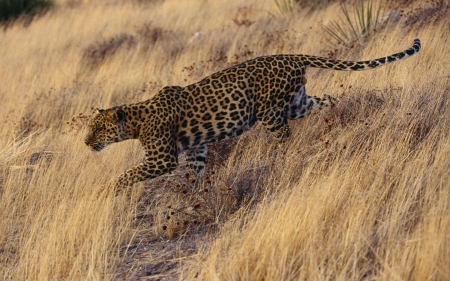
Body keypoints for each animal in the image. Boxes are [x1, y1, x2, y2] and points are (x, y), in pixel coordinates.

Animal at [85, 37, 422, 192]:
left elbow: (129, 174)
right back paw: (341, 120)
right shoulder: (196, 148)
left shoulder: (161, 159)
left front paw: (109, 191)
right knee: (328, 99)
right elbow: (195, 171)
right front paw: (193, 194)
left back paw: (284, 160)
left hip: (270, 112)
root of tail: (290, 56)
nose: (86, 143)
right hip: (297, 103)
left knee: (286, 138)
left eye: (97, 129)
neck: (136, 121)